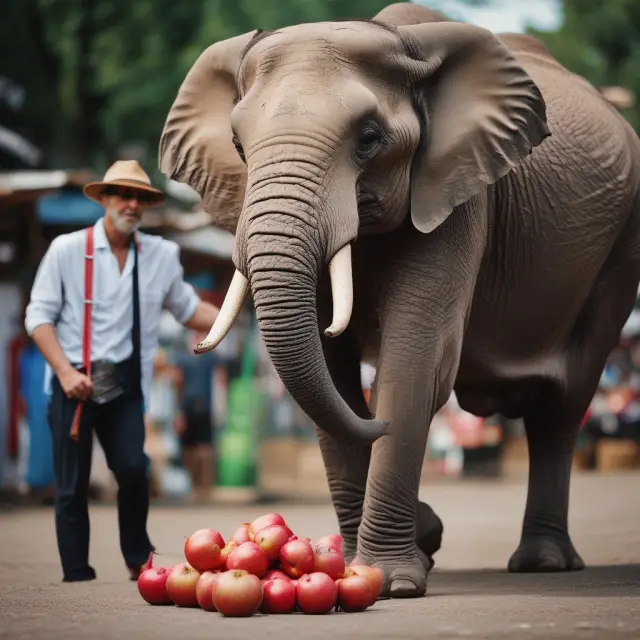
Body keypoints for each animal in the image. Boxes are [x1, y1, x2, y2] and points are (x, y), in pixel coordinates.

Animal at [158, 2, 640, 598]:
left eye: (369, 138)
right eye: (239, 147)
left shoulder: (459, 193)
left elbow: (415, 363)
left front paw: (391, 580)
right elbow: (333, 374)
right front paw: (386, 554)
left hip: (621, 249)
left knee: (563, 405)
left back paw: (543, 562)